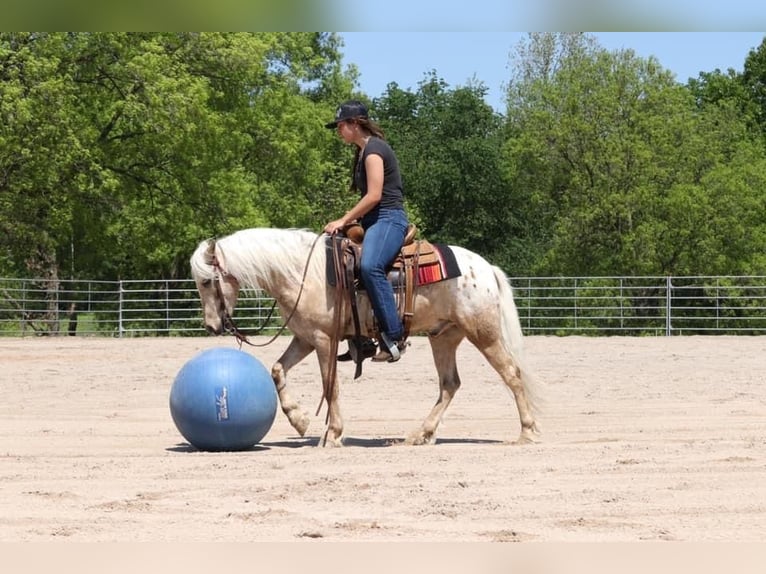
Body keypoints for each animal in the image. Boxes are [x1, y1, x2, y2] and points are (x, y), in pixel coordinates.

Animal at [190, 230, 544, 450]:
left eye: (207, 281)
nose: (211, 326)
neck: (302, 273)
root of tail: (484, 268)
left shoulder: (323, 340)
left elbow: (330, 386)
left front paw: (332, 434)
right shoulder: (305, 338)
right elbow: (277, 370)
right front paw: (300, 420)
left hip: (483, 333)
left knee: (512, 374)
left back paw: (527, 432)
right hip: (443, 336)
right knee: (449, 384)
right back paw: (421, 434)